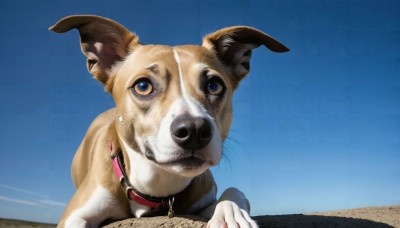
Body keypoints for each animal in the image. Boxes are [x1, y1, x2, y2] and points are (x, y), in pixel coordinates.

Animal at [49, 14, 288, 228]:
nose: (194, 130)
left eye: (214, 85)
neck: (159, 184)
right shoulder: (74, 215)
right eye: (143, 86)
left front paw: (232, 215)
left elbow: (234, 191)